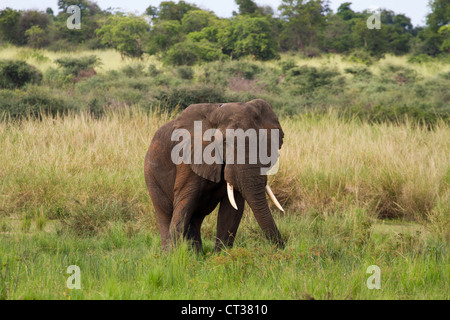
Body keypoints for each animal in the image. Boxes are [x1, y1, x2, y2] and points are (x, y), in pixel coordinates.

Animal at [144, 99, 284, 251]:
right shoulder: (189, 159)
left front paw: (222, 254)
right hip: (151, 175)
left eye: (263, 140)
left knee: (195, 218)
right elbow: (184, 203)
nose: (281, 247)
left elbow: (232, 210)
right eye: (225, 142)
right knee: (165, 213)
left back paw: (196, 254)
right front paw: (173, 255)